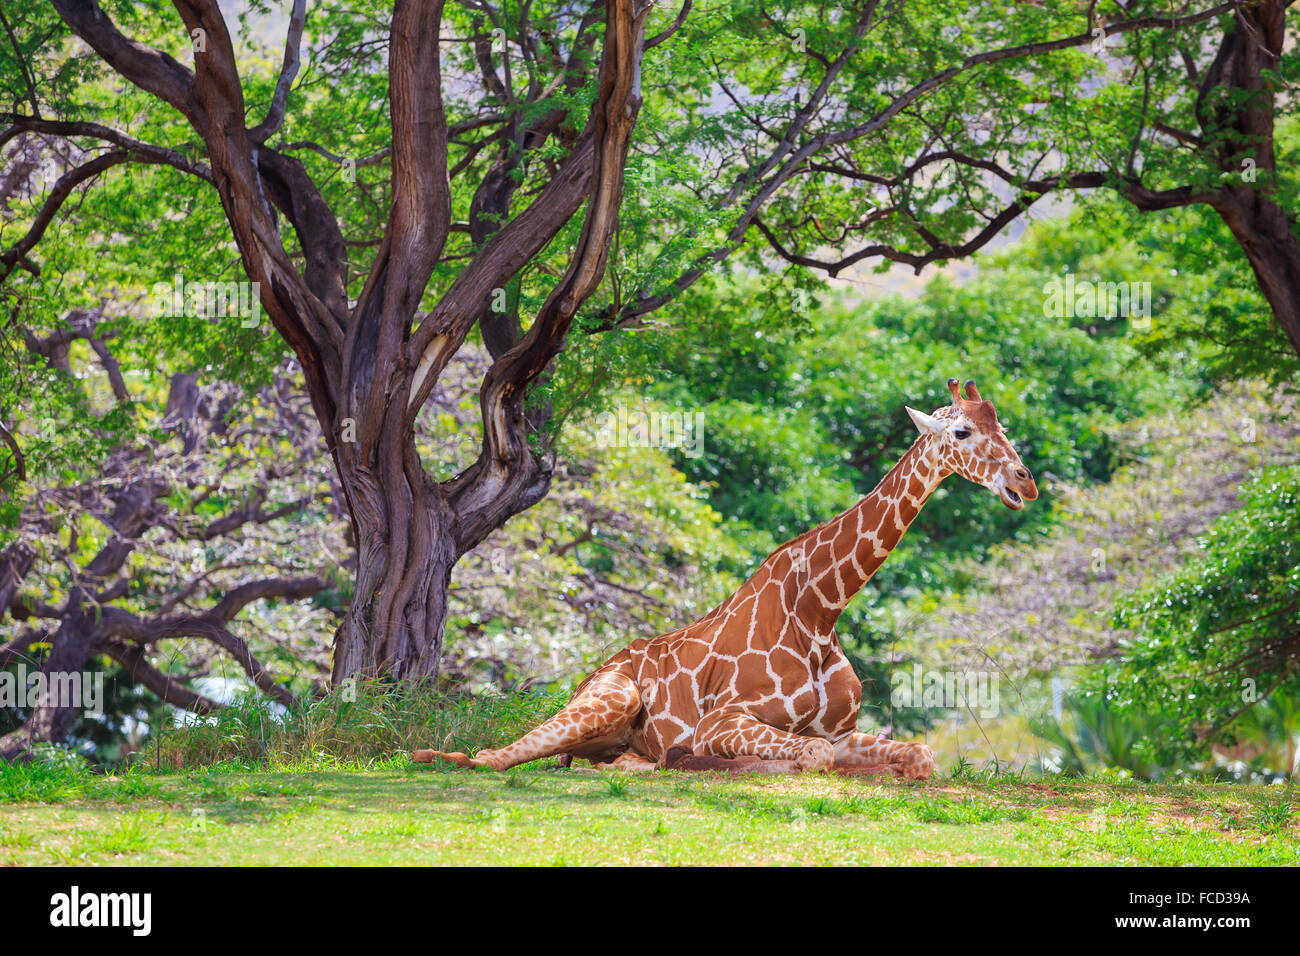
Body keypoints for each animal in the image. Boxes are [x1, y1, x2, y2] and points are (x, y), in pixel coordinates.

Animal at [410, 377, 1040, 780]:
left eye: (1004, 427)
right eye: (960, 433)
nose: (1025, 482)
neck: (821, 608)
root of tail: (595, 670)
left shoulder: (839, 731)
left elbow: (919, 757)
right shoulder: (725, 718)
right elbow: (810, 759)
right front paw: (713, 761)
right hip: (611, 697)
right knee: (490, 757)